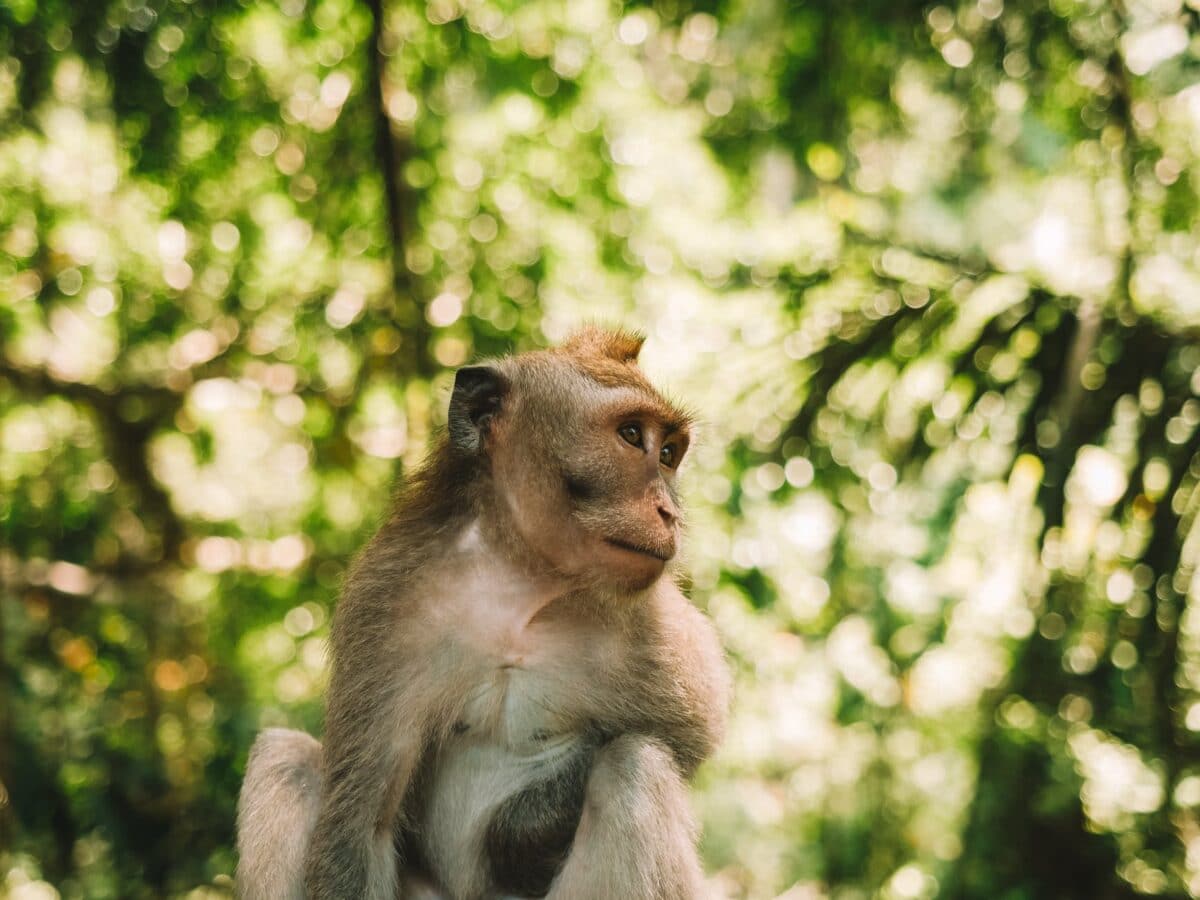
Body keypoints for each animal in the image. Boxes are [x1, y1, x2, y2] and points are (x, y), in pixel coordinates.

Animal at [229, 328, 724, 897]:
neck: (521, 578)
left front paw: (520, 833)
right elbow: (361, 829)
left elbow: (691, 735)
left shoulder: (649, 619)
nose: (670, 513)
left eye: (666, 453)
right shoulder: (385, 599)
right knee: (286, 757)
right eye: (629, 435)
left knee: (632, 767)